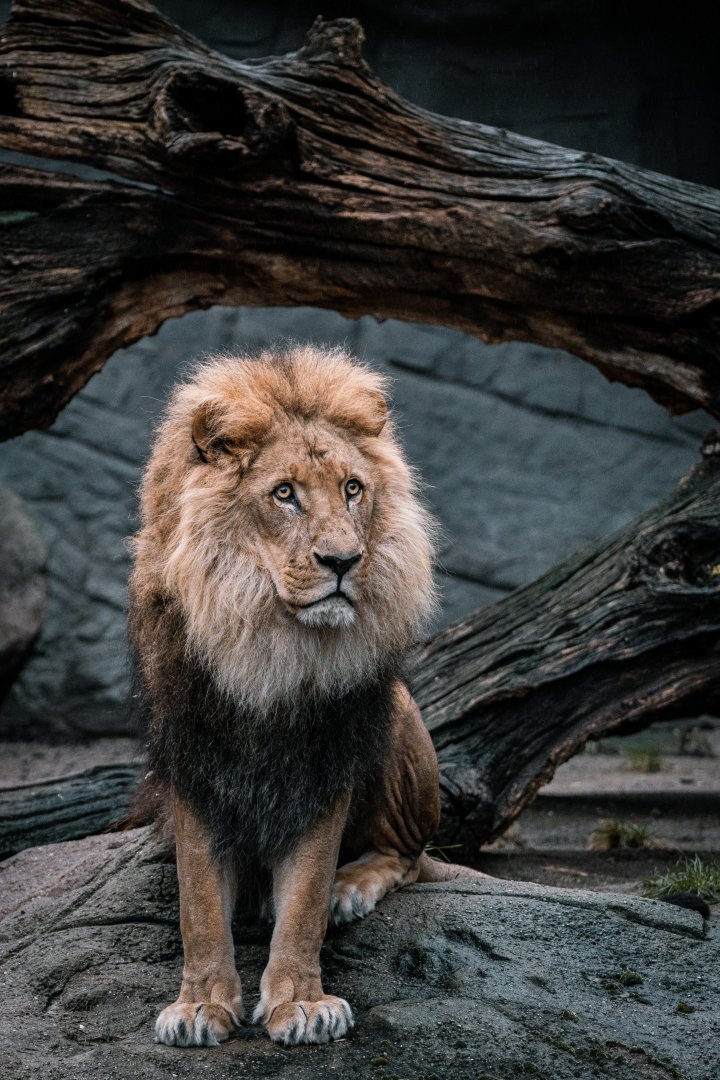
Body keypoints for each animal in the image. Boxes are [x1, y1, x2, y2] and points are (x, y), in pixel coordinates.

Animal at [129, 344, 480, 1049]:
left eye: (352, 488)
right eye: (285, 493)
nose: (343, 561)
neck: (271, 648)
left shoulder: (324, 757)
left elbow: (306, 898)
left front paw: (301, 1002)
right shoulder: (195, 757)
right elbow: (198, 901)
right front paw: (199, 1005)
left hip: (395, 716)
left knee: (410, 855)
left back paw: (354, 885)